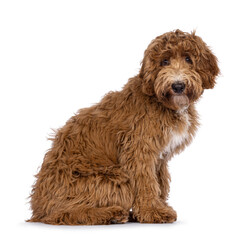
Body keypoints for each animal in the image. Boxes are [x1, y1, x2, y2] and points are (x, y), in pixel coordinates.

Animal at [28, 30, 219, 225]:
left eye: (188, 59)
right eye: (164, 61)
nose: (178, 85)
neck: (160, 101)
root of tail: (39, 209)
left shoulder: (159, 157)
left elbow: (161, 183)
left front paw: (158, 207)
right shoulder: (139, 150)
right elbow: (146, 183)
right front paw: (153, 211)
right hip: (112, 179)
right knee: (67, 213)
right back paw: (110, 214)